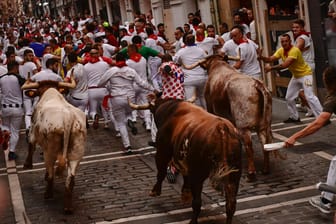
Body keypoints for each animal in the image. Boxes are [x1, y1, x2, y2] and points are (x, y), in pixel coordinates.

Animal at [21, 77, 86, 214]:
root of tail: (68, 117)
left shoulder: (33, 132)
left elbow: (31, 146)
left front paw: (27, 165)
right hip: (76, 152)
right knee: (70, 179)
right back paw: (68, 207)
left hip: (49, 150)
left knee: (51, 170)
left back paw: (48, 194)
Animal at [129, 94, 242, 224]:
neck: (170, 109)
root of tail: (222, 128)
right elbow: (184, 175)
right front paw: (185, 193)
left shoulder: (163, 152)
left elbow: (161, 172)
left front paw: (155, 191)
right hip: (234, 175)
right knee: (231, 204)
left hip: (198, 173)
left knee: (197, 202)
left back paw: (192, 220)